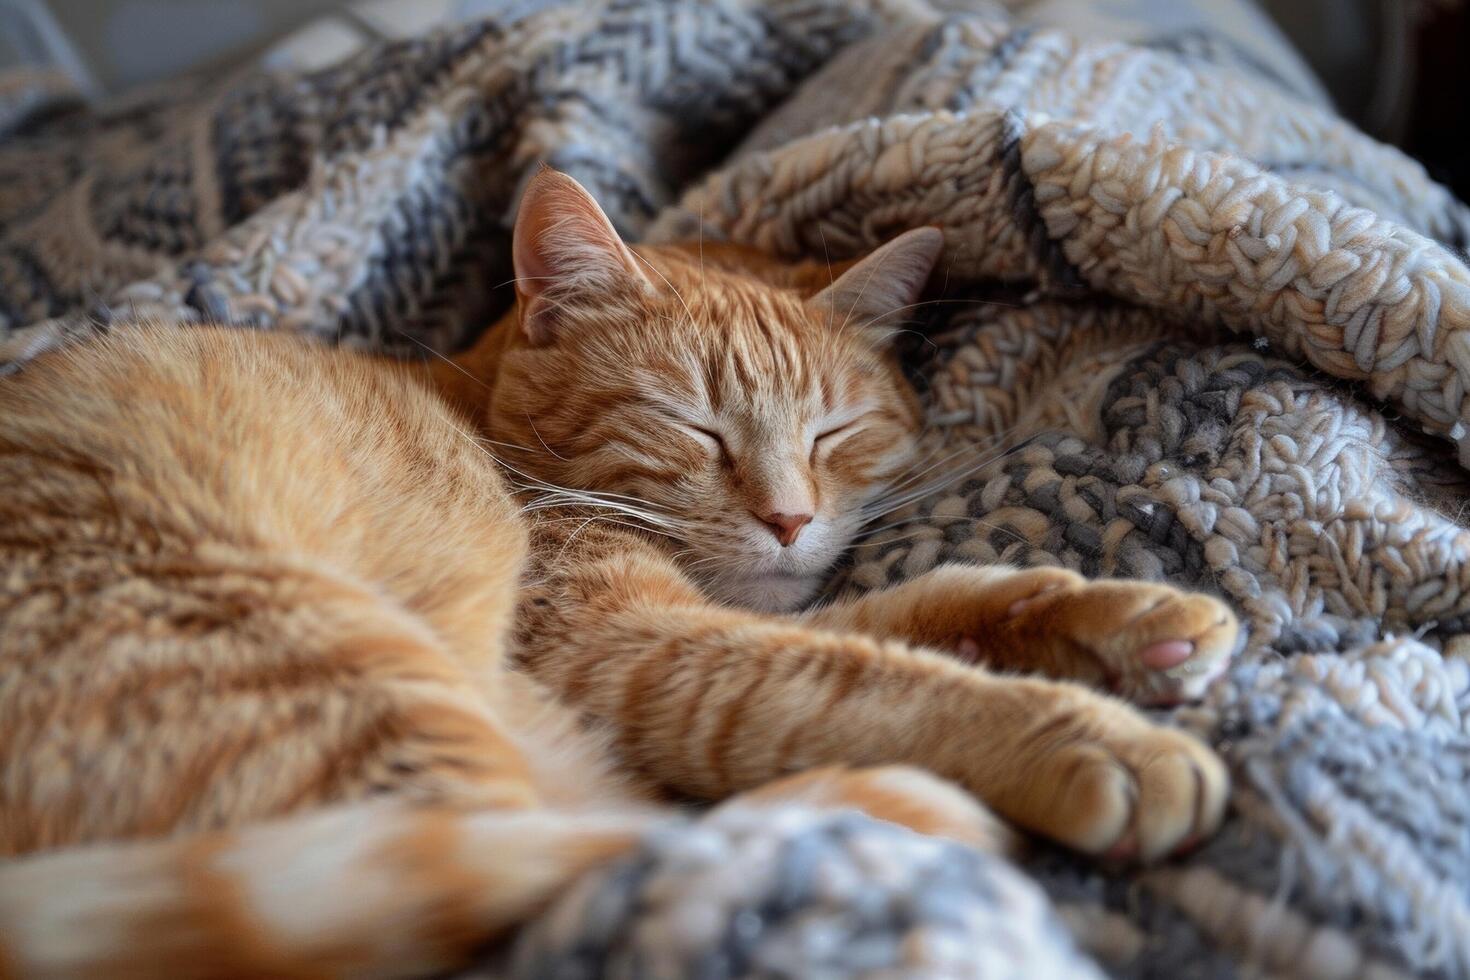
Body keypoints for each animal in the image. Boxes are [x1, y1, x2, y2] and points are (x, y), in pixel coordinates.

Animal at [0, 168, 1240, 975]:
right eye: (694, 429)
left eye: (835, 433)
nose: (789, 516)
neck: (490, 430)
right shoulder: (637, 650)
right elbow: (876, 685)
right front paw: (1083, 735)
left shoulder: (731, 621)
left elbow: (913, 613)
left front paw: (1118, 619)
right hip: (368, 698)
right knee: (627, 847)